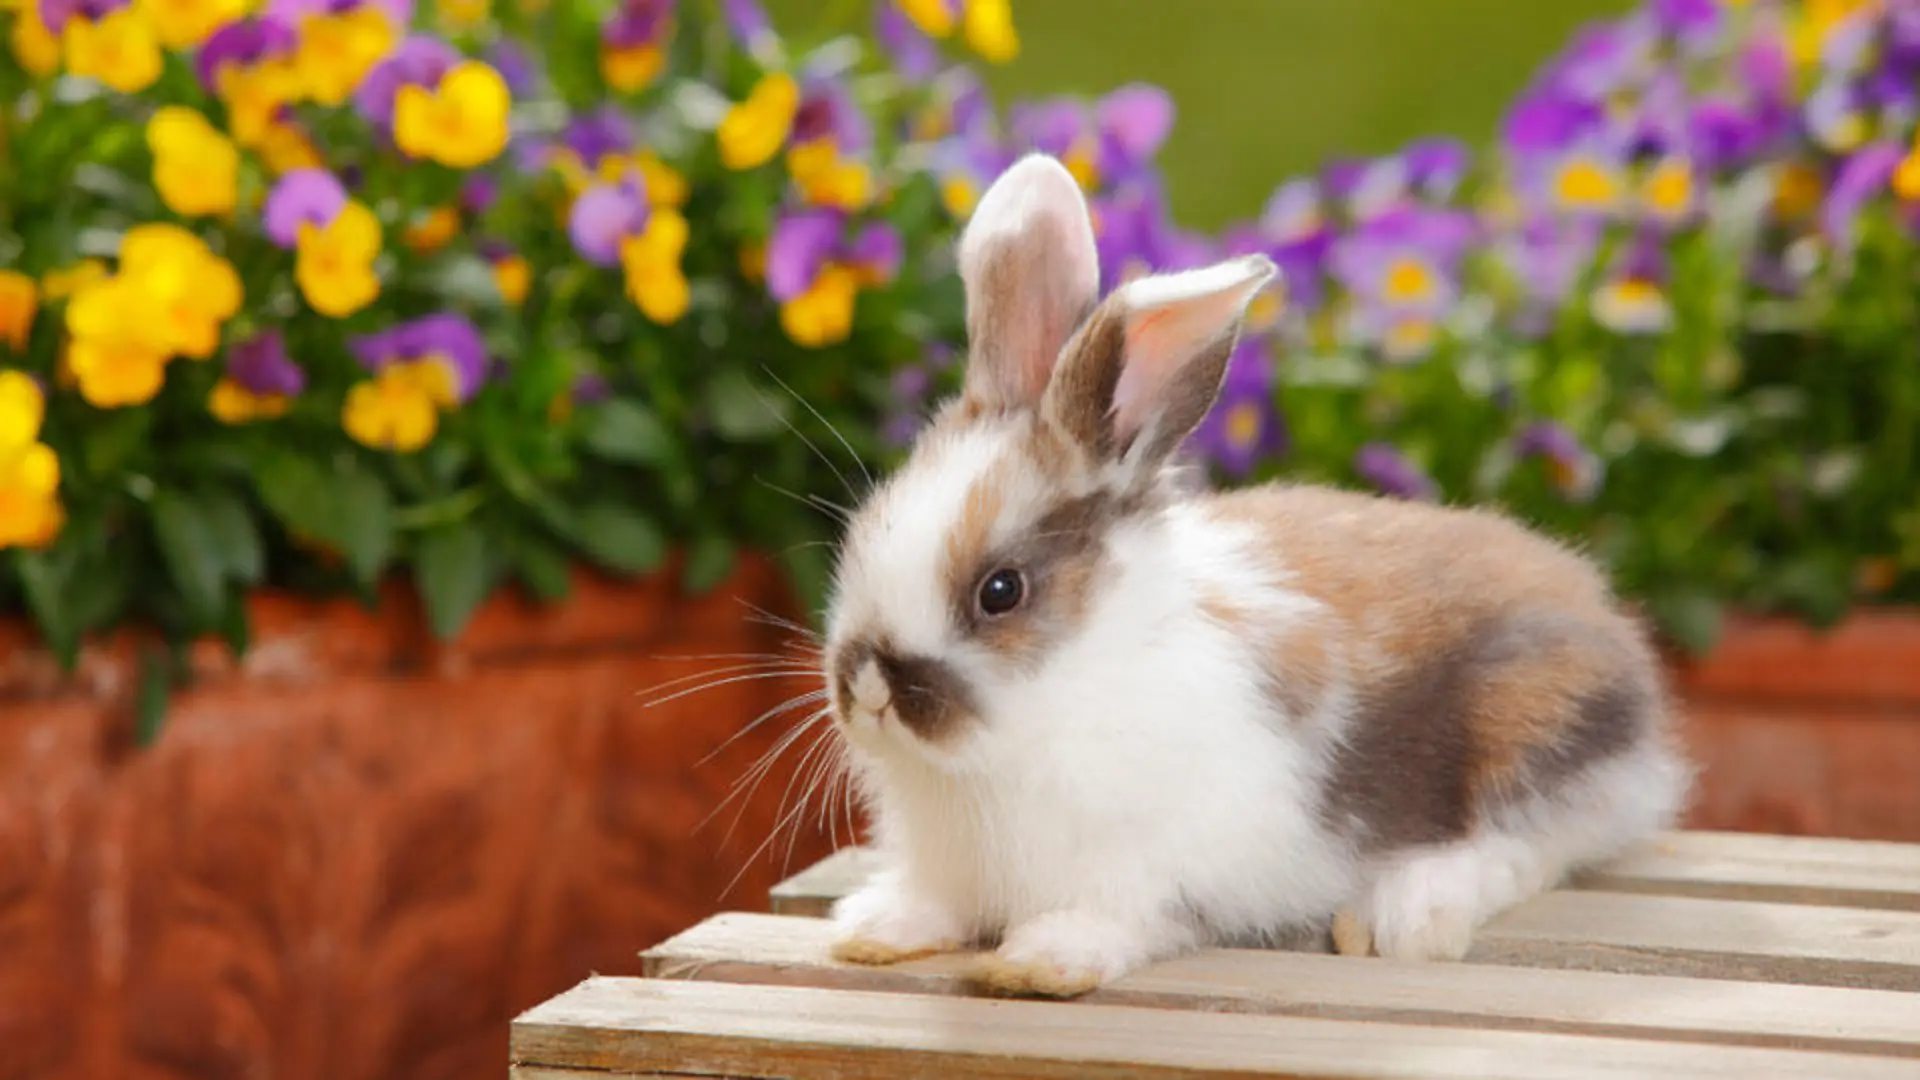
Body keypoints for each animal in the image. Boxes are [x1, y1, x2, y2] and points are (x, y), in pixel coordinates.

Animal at [817, 152, 1693, 999]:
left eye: (1001, 591)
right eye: (862, 530)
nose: (868, 686)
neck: (1069, 683)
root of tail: (1610, 631)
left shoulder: (1159, 865)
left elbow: (1120, 918)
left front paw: (1041, 960)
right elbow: (935, 902)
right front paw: (873, 928)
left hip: (1532, 728)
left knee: (1522, 846)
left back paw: (1405, 915)